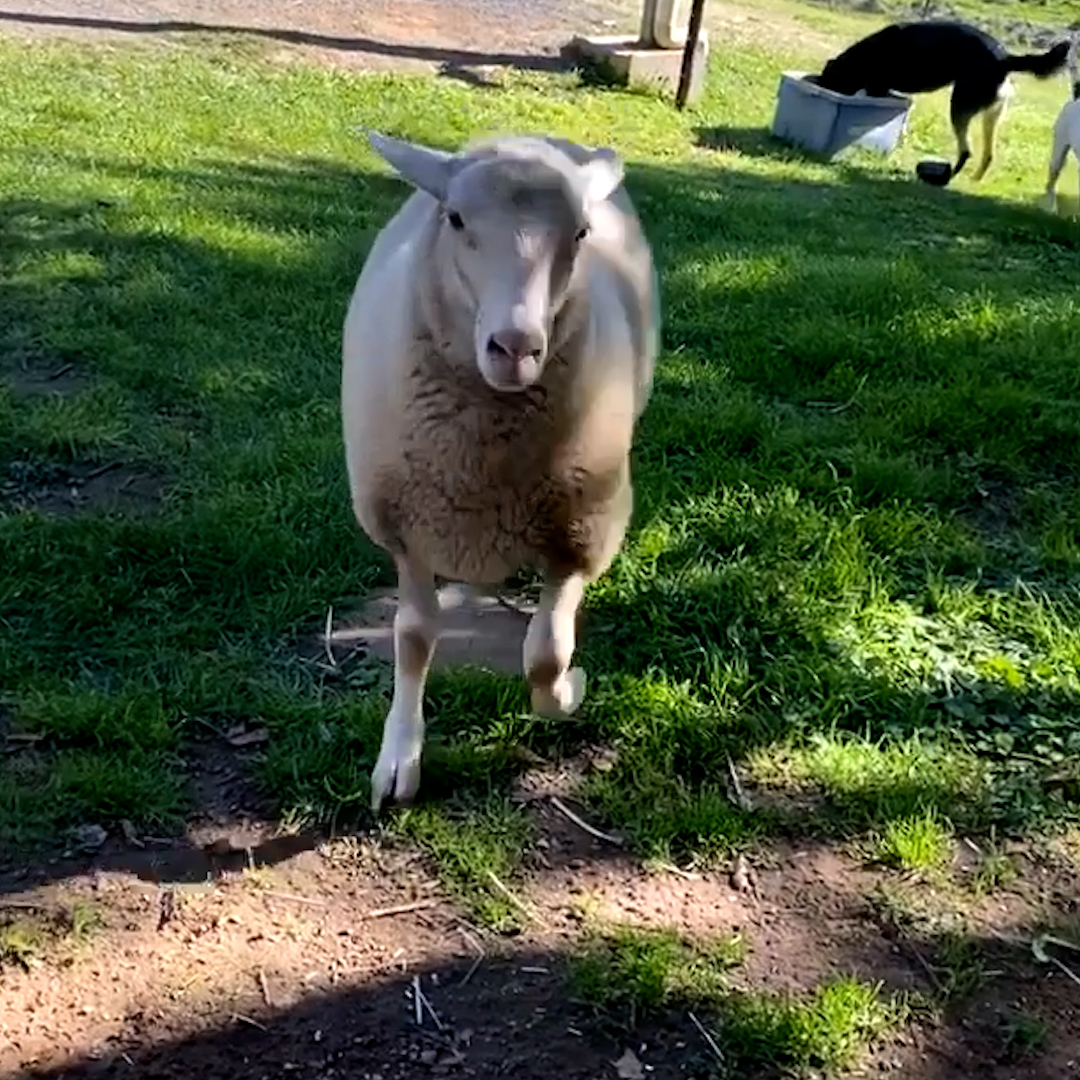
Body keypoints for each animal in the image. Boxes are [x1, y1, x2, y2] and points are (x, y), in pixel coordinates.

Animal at [341, 128, 656, 812]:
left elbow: (546, 653)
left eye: (581, 233)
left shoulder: (580, 532)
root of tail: (530, 136)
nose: (515, 348)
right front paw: (399, 759)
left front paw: (569, 691)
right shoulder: (409, 527)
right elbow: (413, 638)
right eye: (456, 218)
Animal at [820, 19, 1067, 183]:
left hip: (959, 105)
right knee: (988, 154)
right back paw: (971, 180)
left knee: (966, 150)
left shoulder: (877, 87)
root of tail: (1004, 59)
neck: (865, 54)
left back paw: (944, 178)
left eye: (830, 80)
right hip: (991, 116)